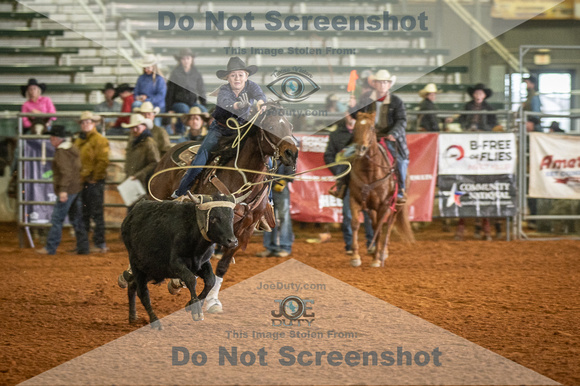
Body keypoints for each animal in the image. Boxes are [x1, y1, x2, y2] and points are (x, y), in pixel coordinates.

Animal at [150, 102, 296, 314]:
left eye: (290, 126)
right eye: (270, 126)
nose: (292, 154)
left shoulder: (244, 231)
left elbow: (222, 266)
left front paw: (212, 301)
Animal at [348, 111, 412, 266]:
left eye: (372, 128)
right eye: (355, 127)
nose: (360, 149)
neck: (369, 171)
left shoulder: (383, 205)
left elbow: (380, 228)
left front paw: (377, 259)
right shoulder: (354, 200)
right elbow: (355, 224)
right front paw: (355, 257)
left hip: (396, 207)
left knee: (389, 225)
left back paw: (382, 252)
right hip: (371, 208)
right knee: (375, 223)